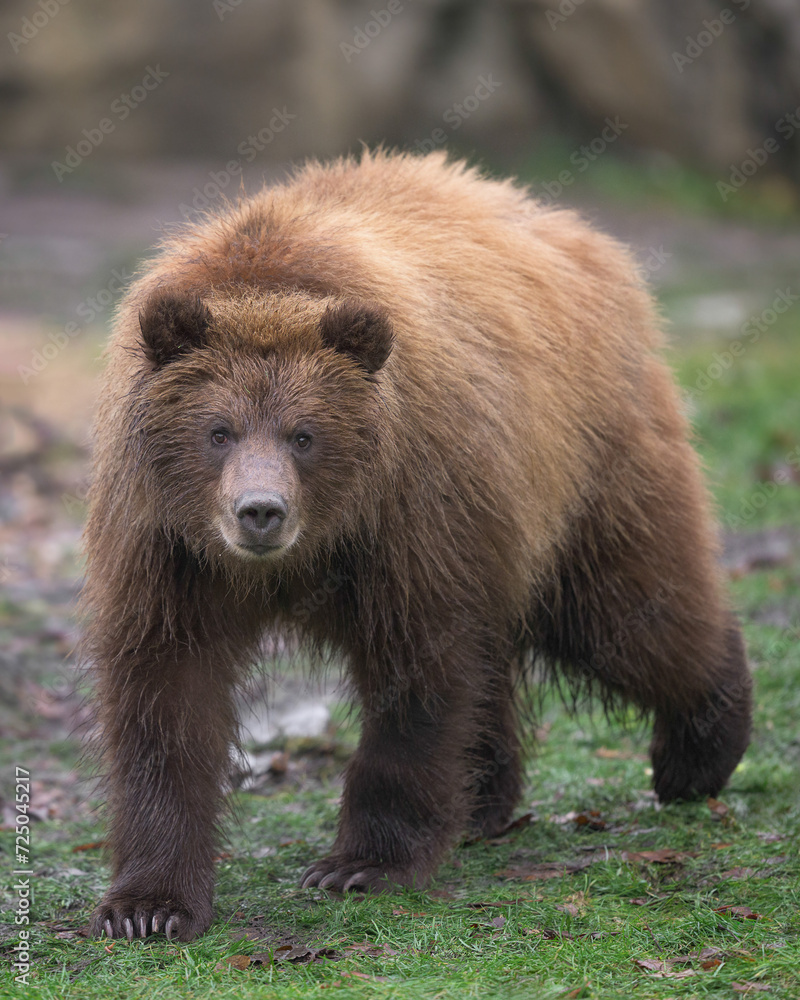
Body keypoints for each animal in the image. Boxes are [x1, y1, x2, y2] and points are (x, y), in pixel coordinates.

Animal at [81, 146, 752, 936]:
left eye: (304, 434)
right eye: (218, 431)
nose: (260, 512)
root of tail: (576, 233)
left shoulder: (409, 513)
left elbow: (417, 676)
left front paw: (358, 864)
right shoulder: (166, 544)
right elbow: (165, 693)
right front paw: (146, 907)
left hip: (583, 465)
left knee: (624, 609)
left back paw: (698, 751)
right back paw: (486, 799)